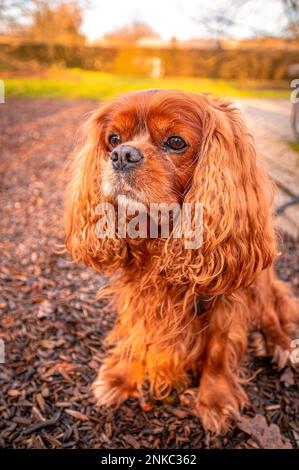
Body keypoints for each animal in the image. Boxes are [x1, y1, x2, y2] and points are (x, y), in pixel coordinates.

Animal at [64, 89, 298, 434]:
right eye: (114, 138)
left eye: (176, 142)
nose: (122, 154)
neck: (161, 236)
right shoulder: (138, 293)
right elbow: (136, 332)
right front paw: (122, 376)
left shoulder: (226, 300)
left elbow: (217, 351)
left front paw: (215, 400)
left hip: (261, 279)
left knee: (271, 312)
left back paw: (280, 344)